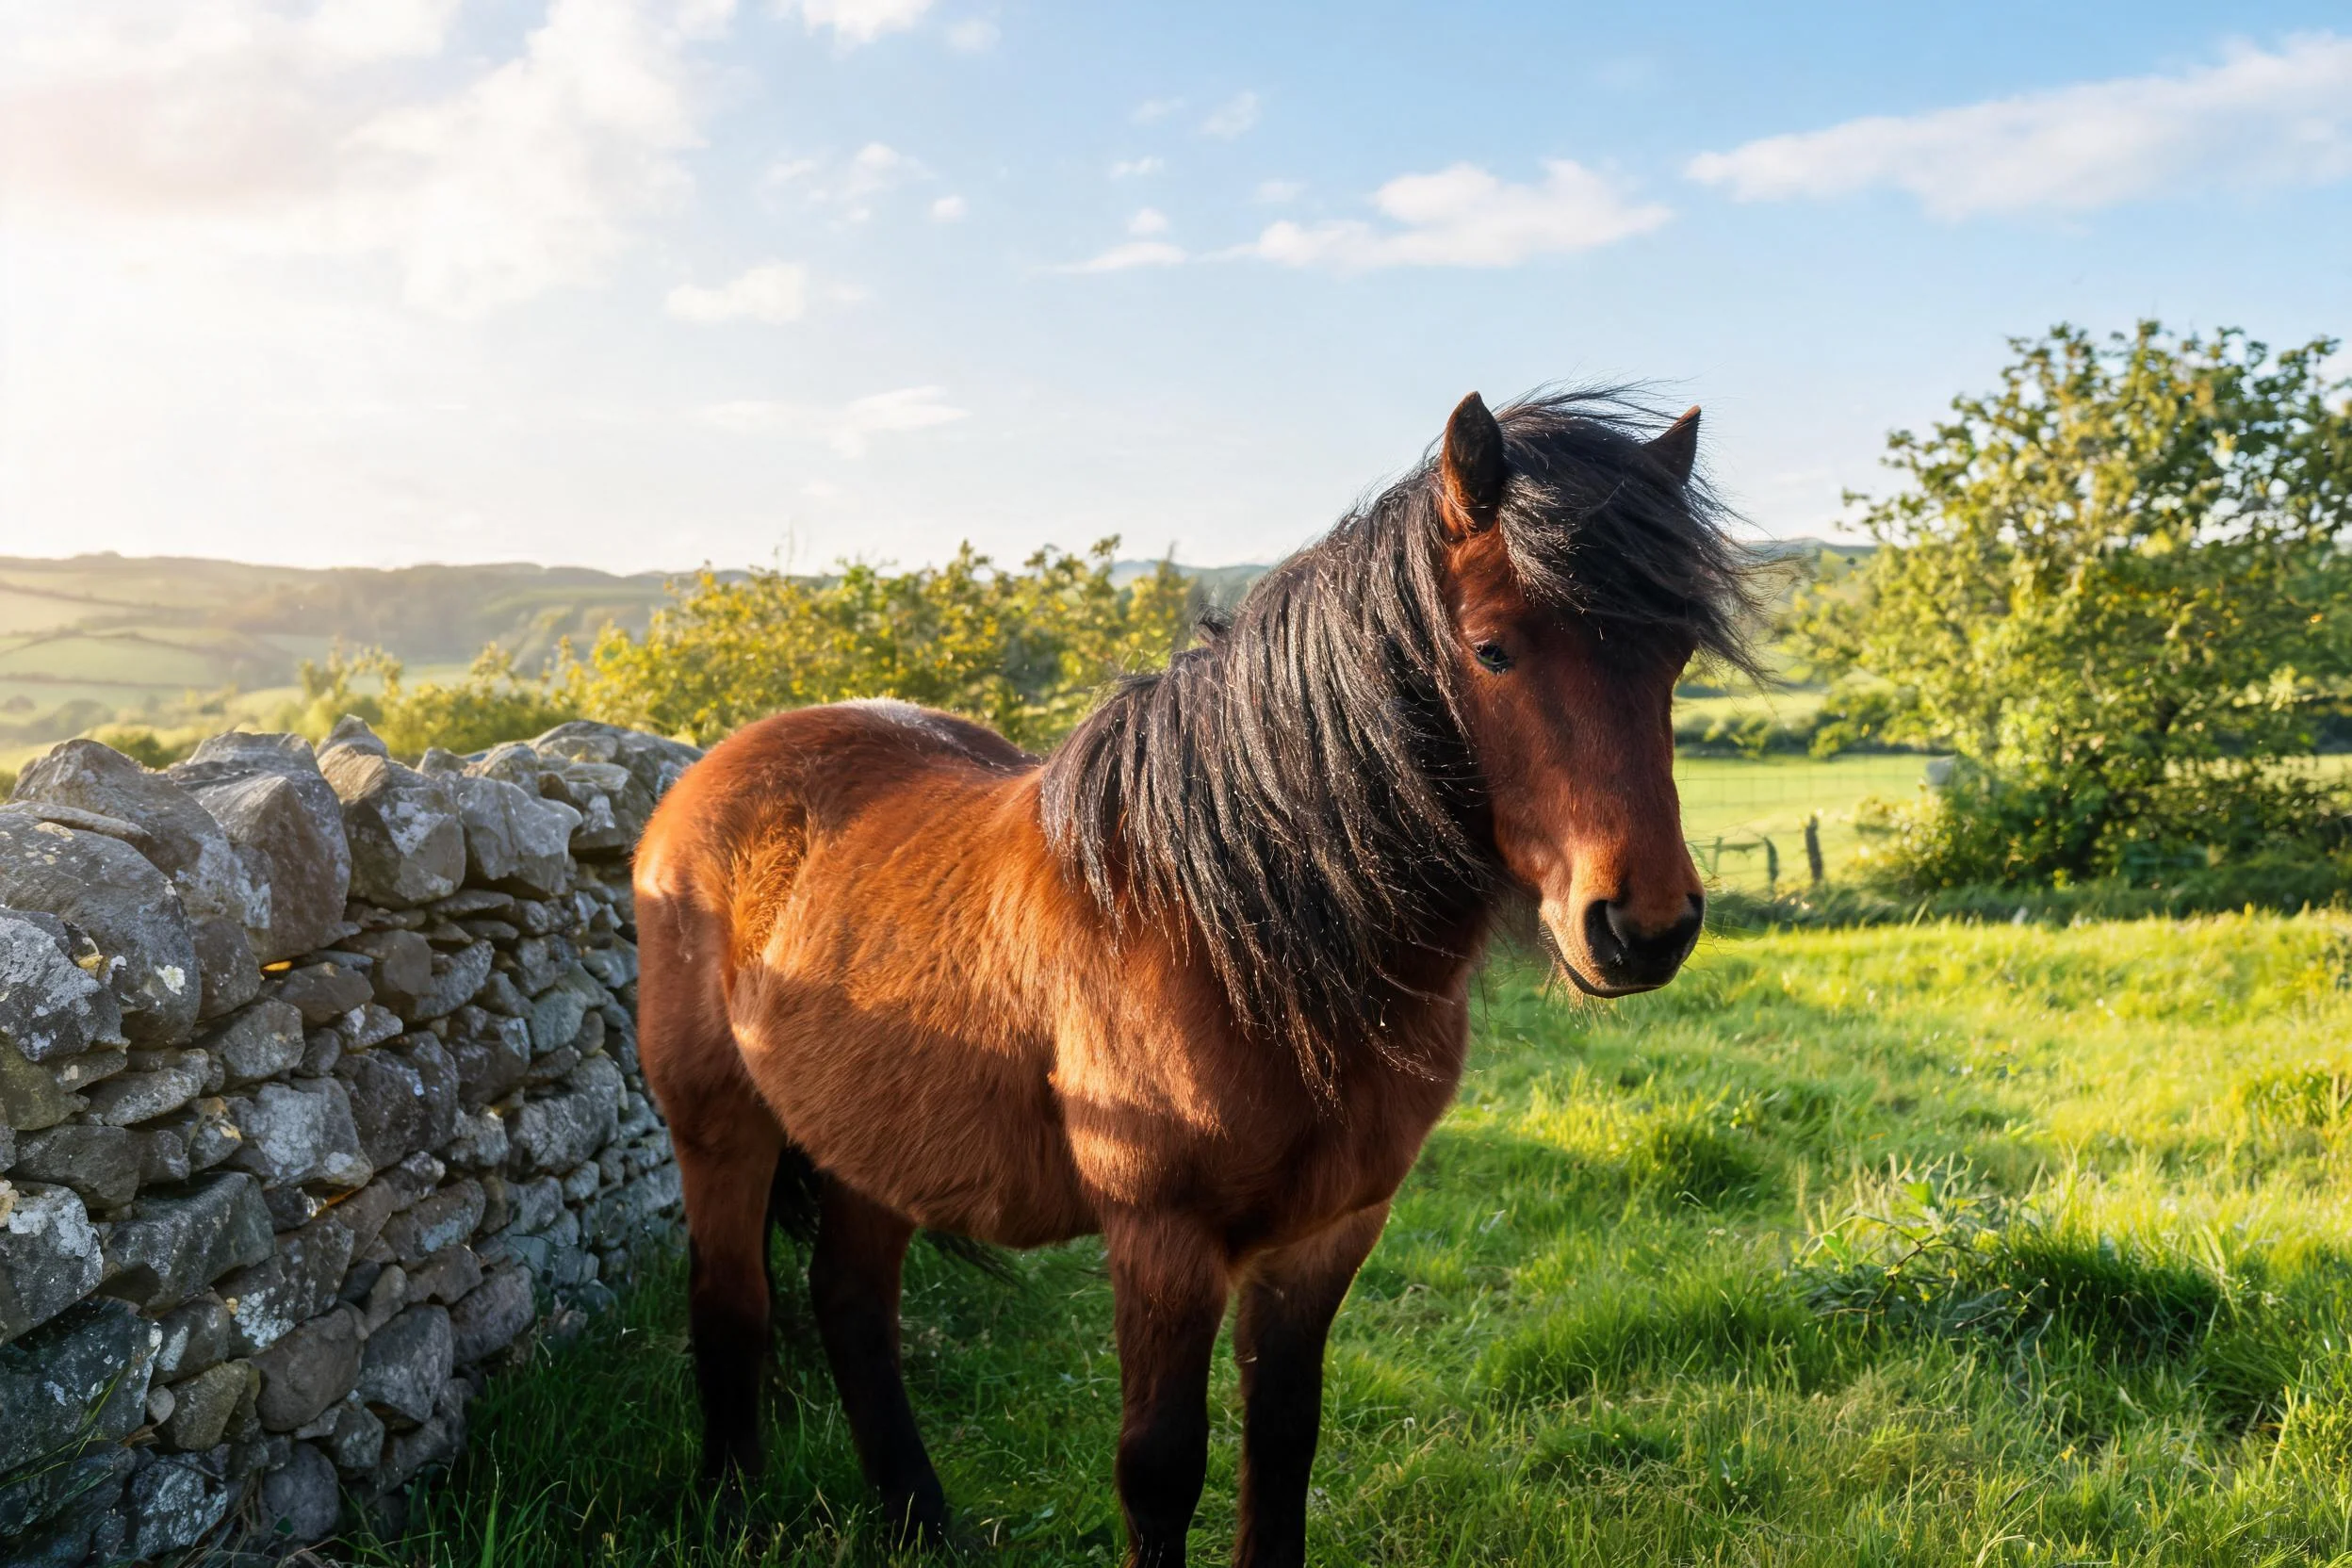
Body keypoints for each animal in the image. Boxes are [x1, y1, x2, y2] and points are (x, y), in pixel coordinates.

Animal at [634, 388, 1757, 1566]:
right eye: (1493, 649)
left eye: (1675, 654)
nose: (1642, 926)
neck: (1243, 931)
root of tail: (708, 774)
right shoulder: (1162, 1240)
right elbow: (1161, 1467)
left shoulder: (1325, 1234)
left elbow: (1284, 1441)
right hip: (720, 1127)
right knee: (733, 1305)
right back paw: (729, 1511)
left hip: (876, 1140)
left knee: (851, 1301)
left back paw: (920, 1521)